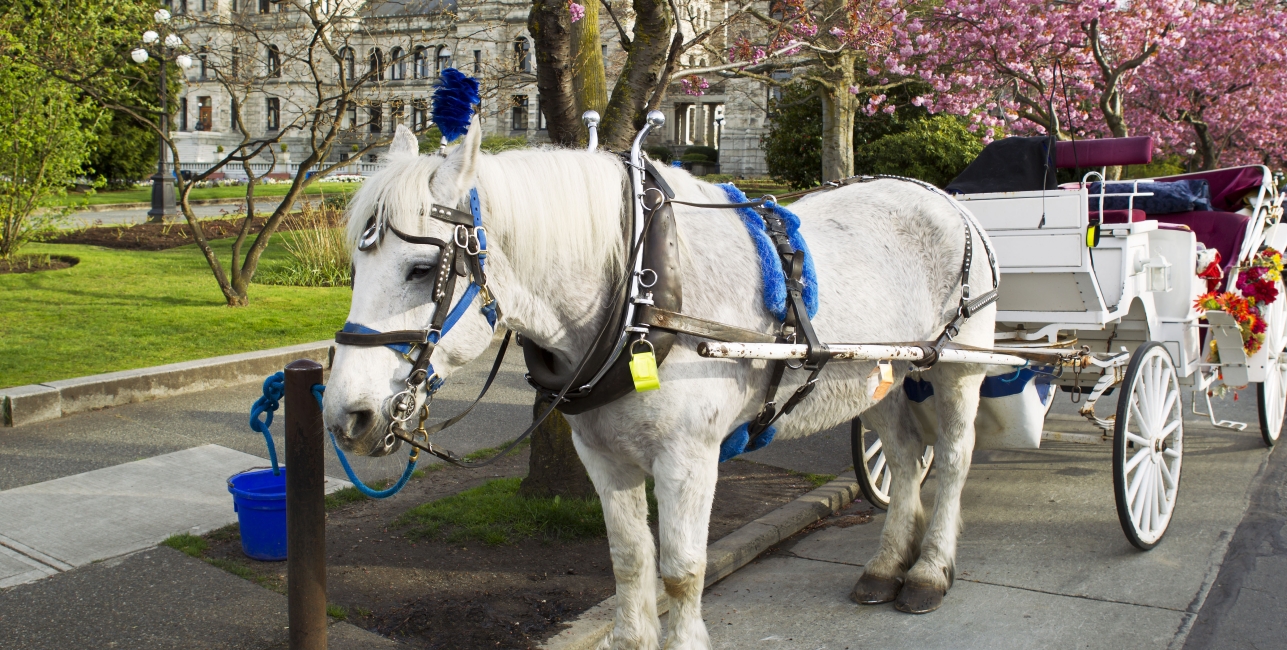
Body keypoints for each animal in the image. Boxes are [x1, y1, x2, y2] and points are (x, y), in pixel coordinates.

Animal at [322, 120, 997, 648]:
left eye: (421, 269)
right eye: (353, 266)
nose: (345, 417)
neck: (638, 297)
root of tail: (946, 199)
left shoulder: (688, 458)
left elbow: (680, 569)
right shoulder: (602, 456)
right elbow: (628, 560)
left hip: (957, 366)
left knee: (952, 461)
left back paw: (929, 573)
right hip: (881, 373)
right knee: (905, 459)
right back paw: (885, 568)